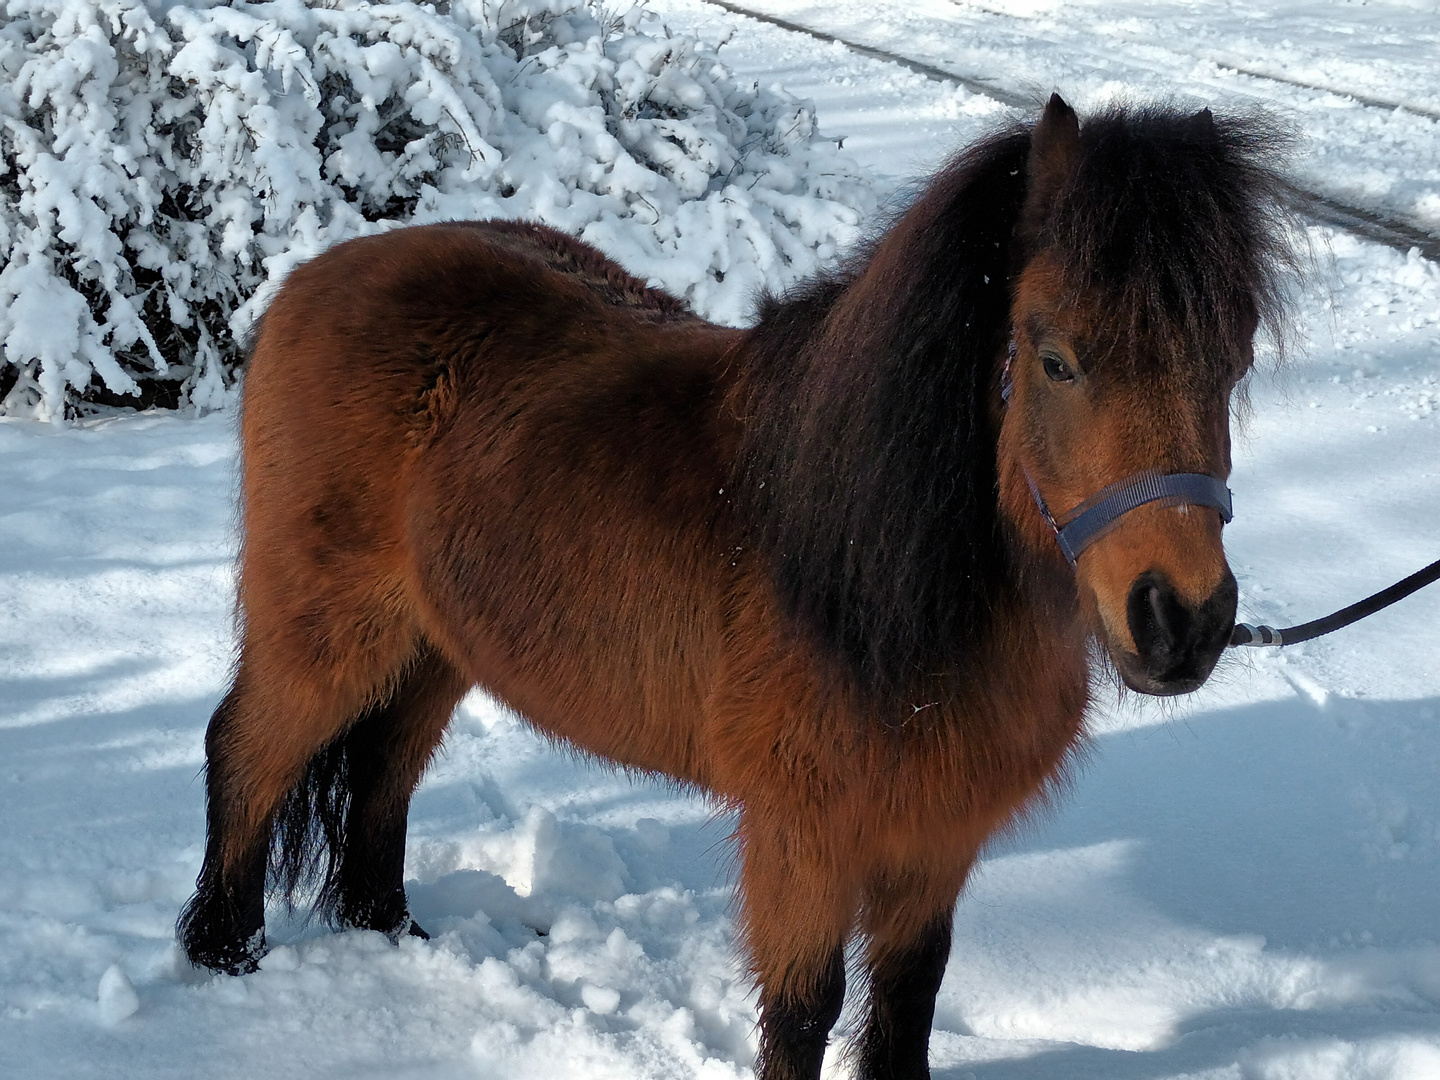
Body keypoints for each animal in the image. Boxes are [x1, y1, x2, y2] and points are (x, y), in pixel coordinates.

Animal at [180, 97, 1296, 1077]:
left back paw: (393, 937)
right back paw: (225, 957)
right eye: (1057, 359)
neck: (872, 572)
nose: (1182, 621)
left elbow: (908, 1005)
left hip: (436, 644)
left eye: (1232, 361)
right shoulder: (804, 838)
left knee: (381, 772)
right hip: (327, 628)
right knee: (249, 752)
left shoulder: (934, 842)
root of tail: (313, 277)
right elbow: (802, 1015)